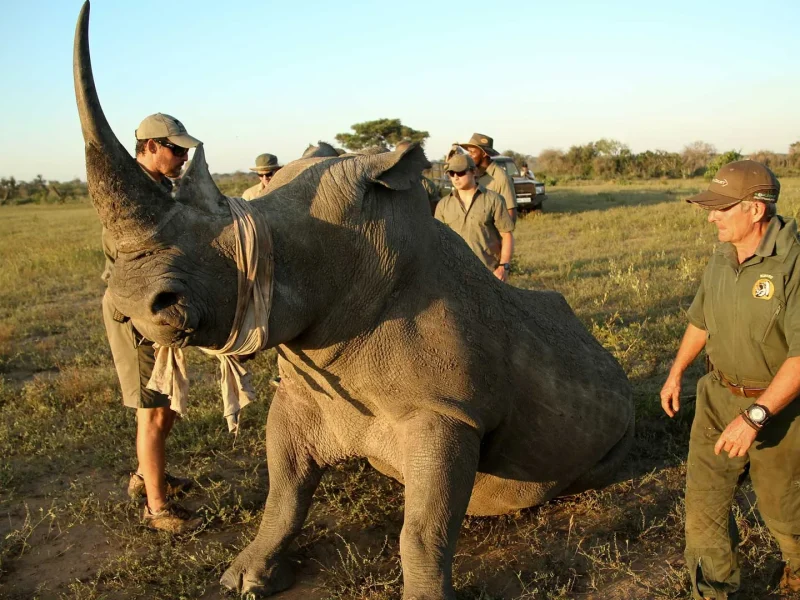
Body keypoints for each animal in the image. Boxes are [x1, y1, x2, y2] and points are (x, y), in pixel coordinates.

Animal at [73, 3, 634, 598]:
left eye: (256, 243)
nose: (131, 304)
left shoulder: (447, 413)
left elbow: (423, 530)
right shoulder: (304, 392)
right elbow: (284, 495)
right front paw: (244, 578)